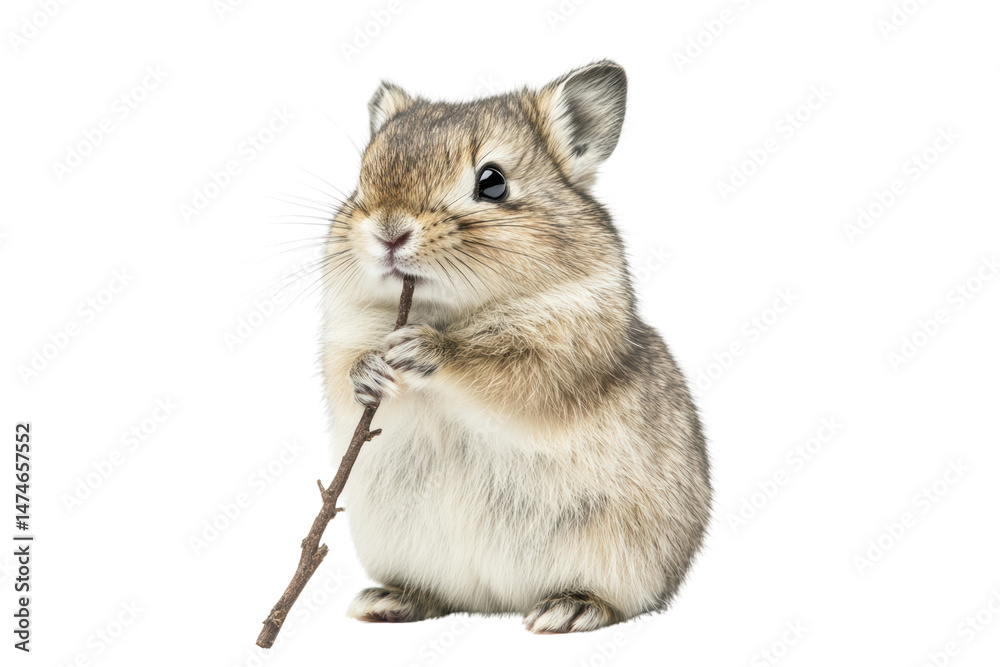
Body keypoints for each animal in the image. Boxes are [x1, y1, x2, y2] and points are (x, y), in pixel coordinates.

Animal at [318, 60, 711, 634]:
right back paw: (385, 601)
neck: (445, 312)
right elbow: (349, 372)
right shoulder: (339, 344)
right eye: (361, 176)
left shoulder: (549, 363)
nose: (388, 232)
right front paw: (371, 371)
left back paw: (564, 610)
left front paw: (421, 351)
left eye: (493, 182)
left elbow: (485, 369)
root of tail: (497, 605)